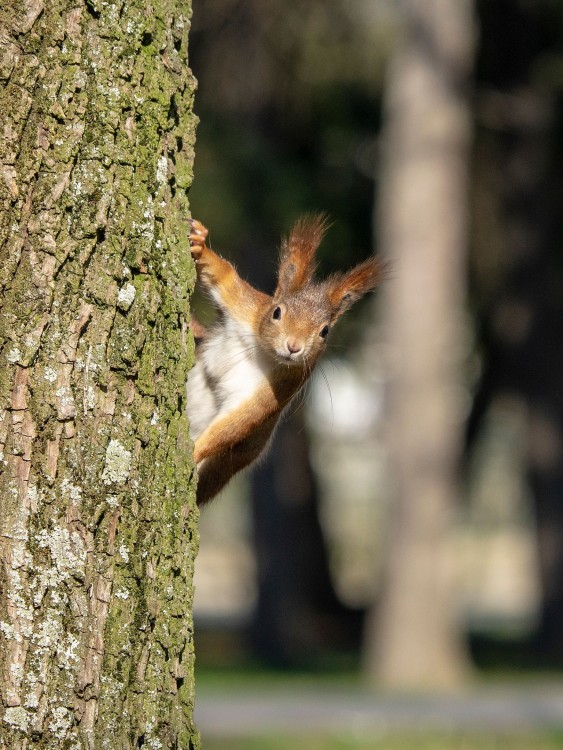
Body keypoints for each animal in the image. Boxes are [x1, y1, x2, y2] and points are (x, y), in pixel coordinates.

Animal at [187, 217, 382, 508]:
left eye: (325, 331)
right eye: (276, 312)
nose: (293, 347)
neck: (263, 351)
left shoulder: (283, 384)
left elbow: (240, 420)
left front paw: (195, 450)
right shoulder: (247, 307)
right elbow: (224, 276)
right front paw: (199, 242)